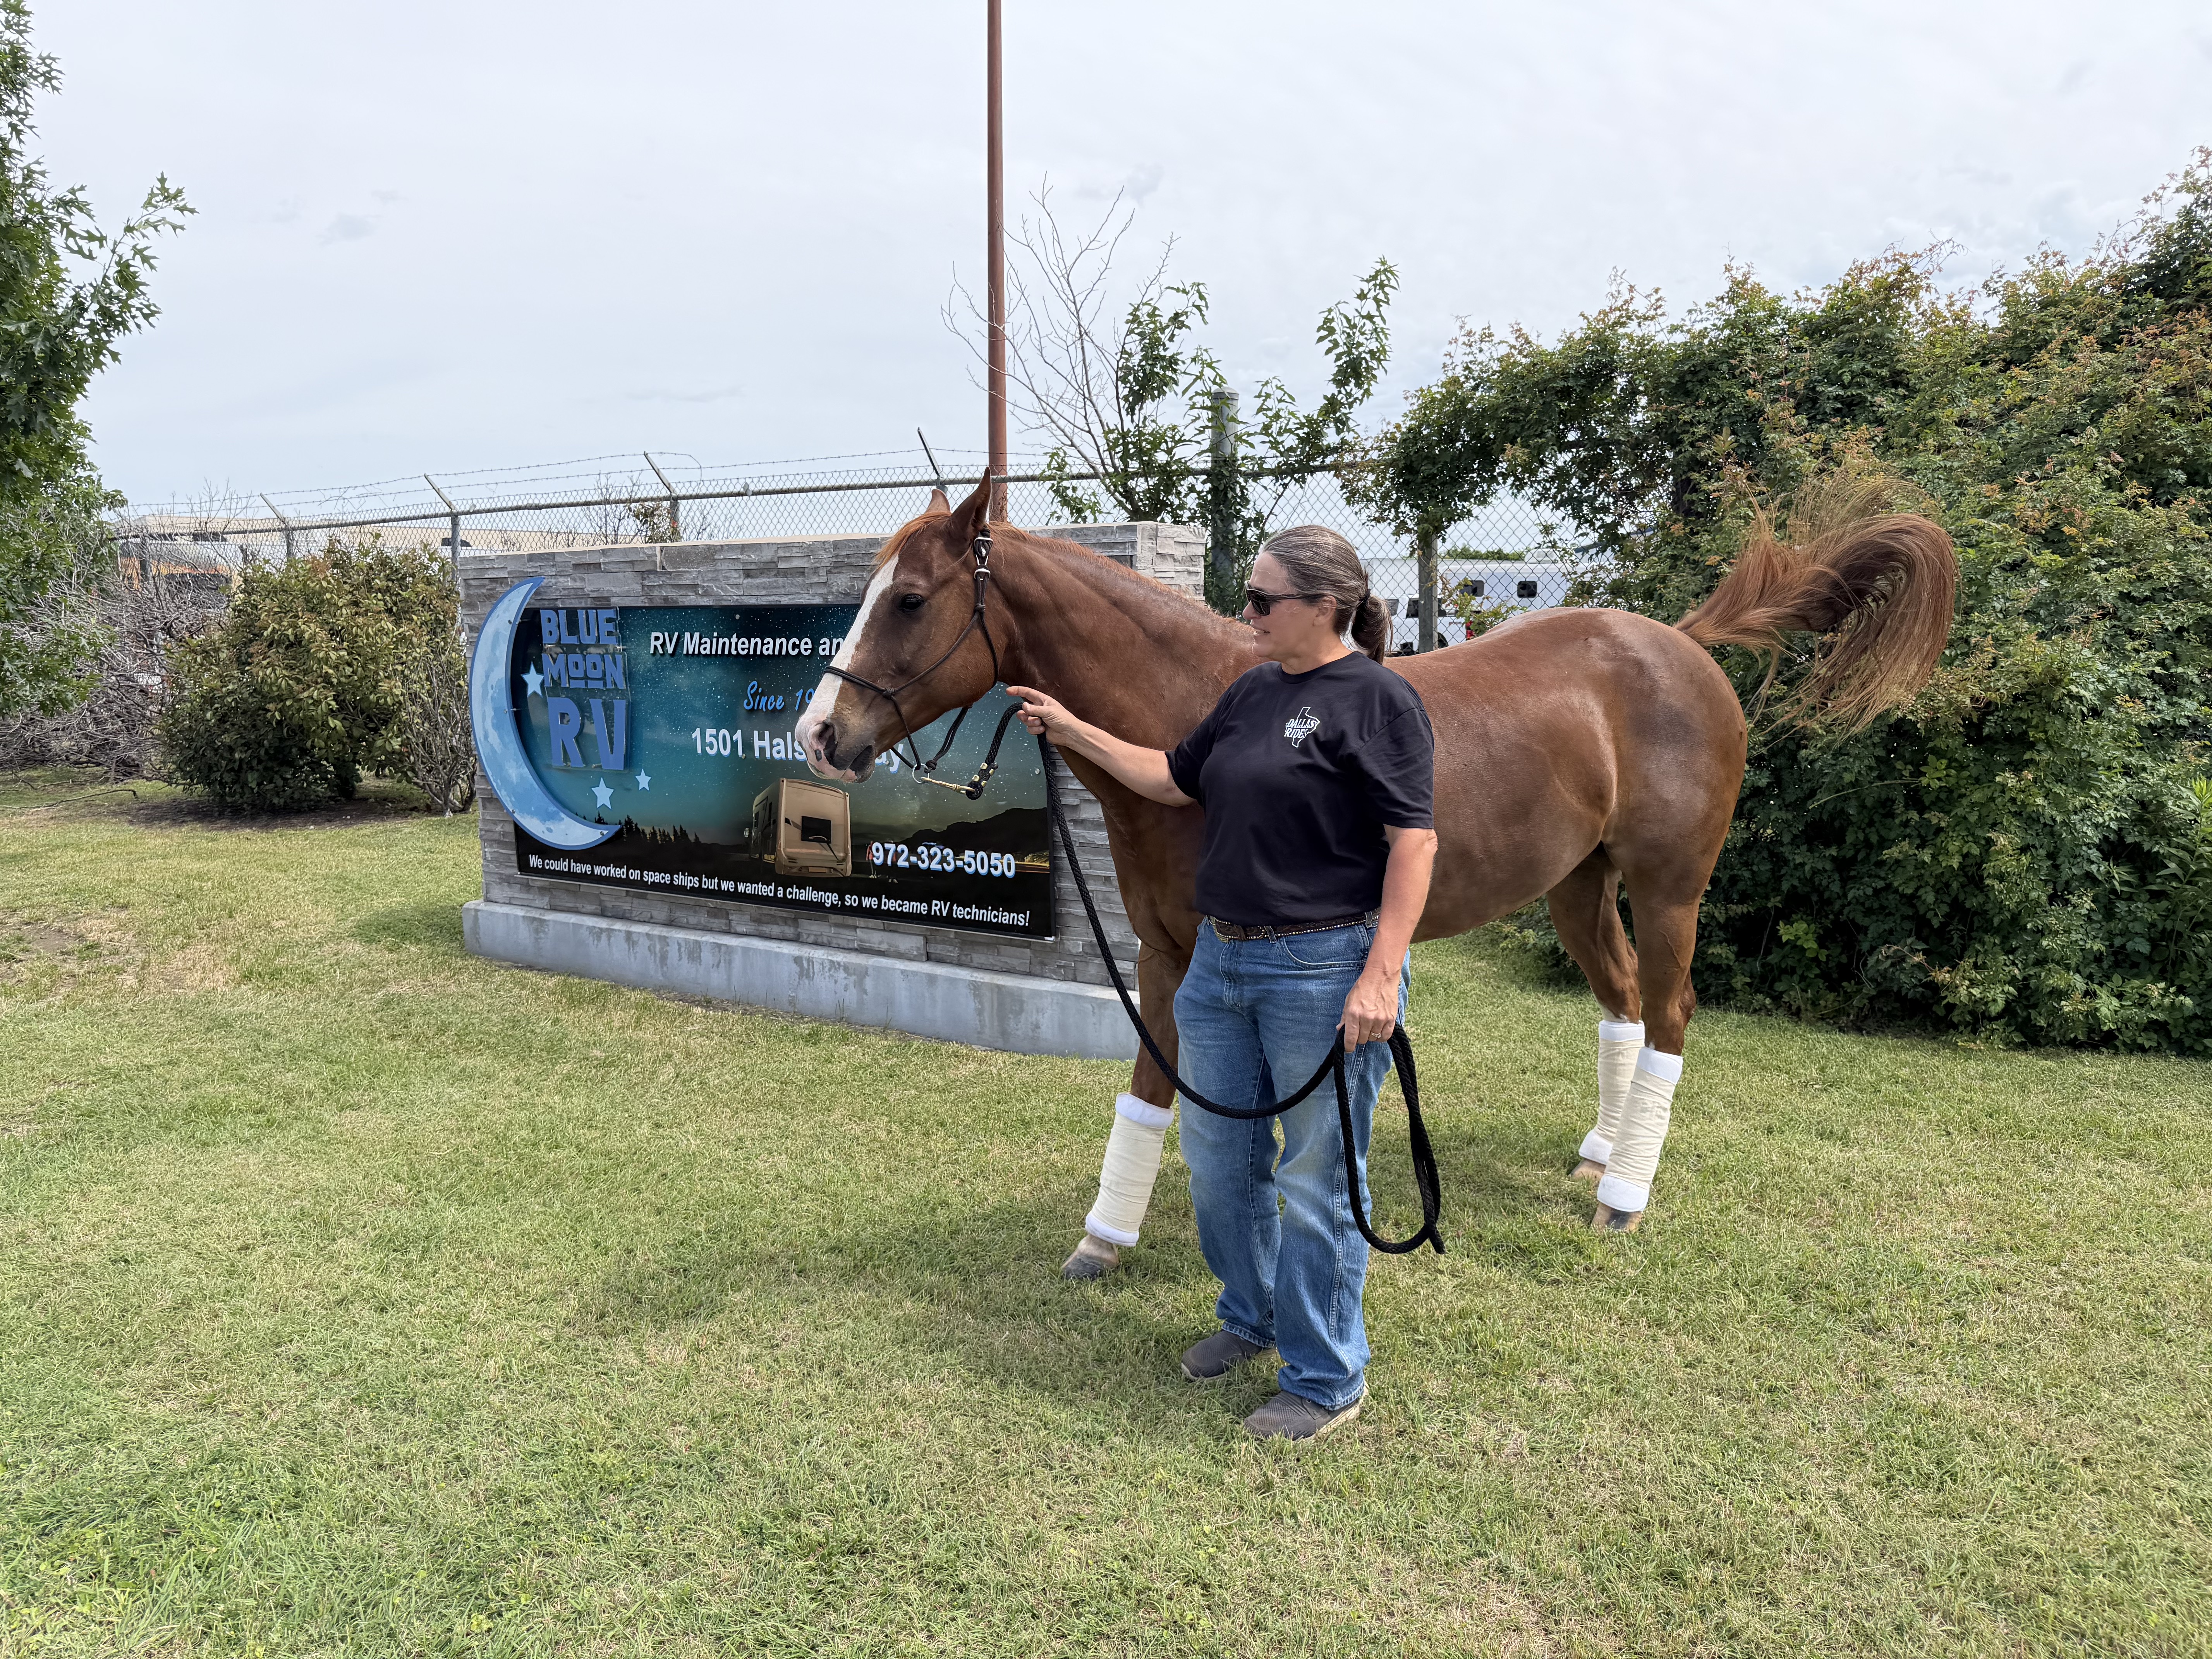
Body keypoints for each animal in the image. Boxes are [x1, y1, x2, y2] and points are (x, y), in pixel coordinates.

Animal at [795, 479, 1956, 1271]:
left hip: (1671, 887)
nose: (820, 734)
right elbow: (1156, 1094)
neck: (1194, 714)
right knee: (1622, 999)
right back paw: (1599, 1148)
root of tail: (1682, 642)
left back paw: (1625, 1191)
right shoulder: (1170, 958)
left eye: (908, 600)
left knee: (1669, 1010)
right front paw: (1106, 1239)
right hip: (1577, 885)